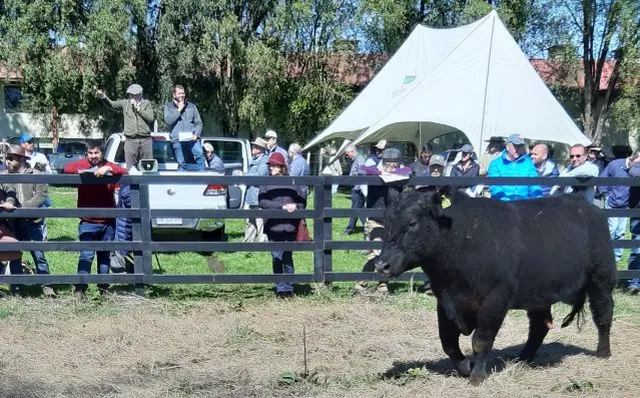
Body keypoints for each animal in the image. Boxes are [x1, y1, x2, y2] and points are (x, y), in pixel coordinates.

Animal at [376, 191, 616, 384]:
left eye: (411, 223)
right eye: (386, 222)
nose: (381, 264)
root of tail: (586, 204)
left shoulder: (495, 300)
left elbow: (481, 341)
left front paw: (477, 376)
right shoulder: (444, 301)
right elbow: (448, 342)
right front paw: (466, 367)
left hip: (601, 279)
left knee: (603, 314)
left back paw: (603, 352)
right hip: (539, 294)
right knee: (539, 326)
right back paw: (523, 358)